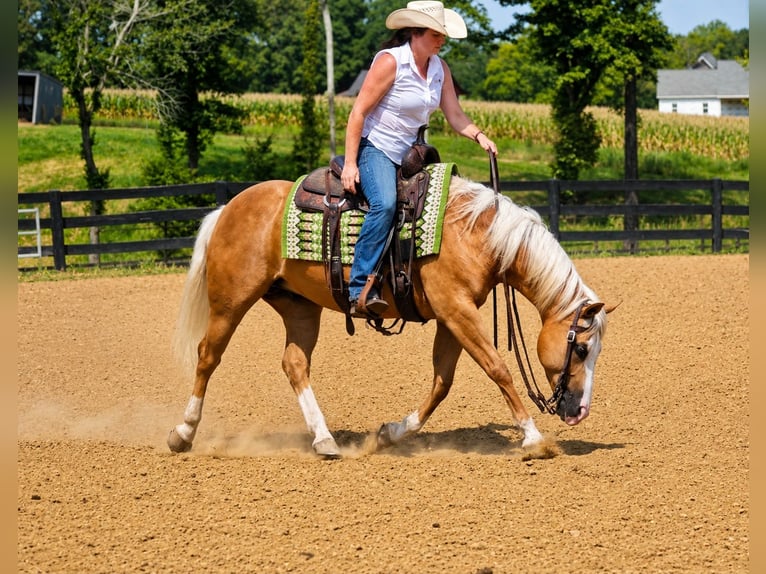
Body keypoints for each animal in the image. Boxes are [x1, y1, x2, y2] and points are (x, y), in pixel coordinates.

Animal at [167, 171, 614, 459]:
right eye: (581, 348)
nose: (580, 412)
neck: (477, 234)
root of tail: (227, 207)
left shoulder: (453, 316)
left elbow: (442, 383)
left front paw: (390, 434)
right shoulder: (457, 310)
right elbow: (497, 369)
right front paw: (534, 438)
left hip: (299, 307)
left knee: (294, 363)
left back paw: (324, 440)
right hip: (230, 301)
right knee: (207, 356)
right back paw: (183, 433)